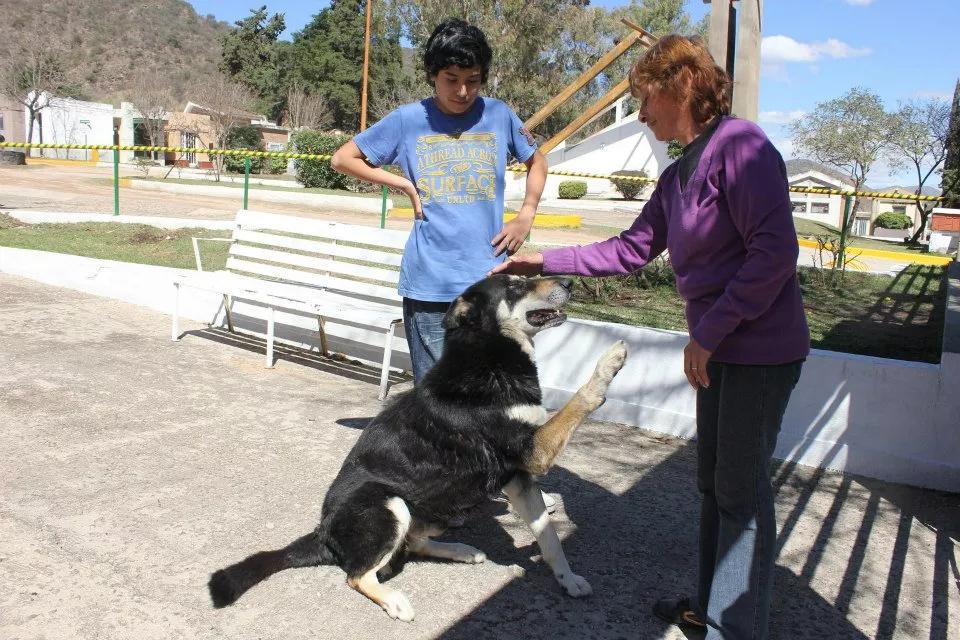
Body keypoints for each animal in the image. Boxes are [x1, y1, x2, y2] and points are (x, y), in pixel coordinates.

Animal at [208, 274, 632, 620]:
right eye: (515, 286)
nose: (572, 283)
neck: (491, 356)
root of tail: (323, 531)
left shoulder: (520, 477)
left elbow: (550, 538)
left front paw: (568, 579)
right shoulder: (533, 453)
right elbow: (580, 400)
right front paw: (608, 364)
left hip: (436, 505)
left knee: (414, 543)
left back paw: (462, 550)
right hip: (387, 503)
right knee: (358, 575)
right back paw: (395, 599)